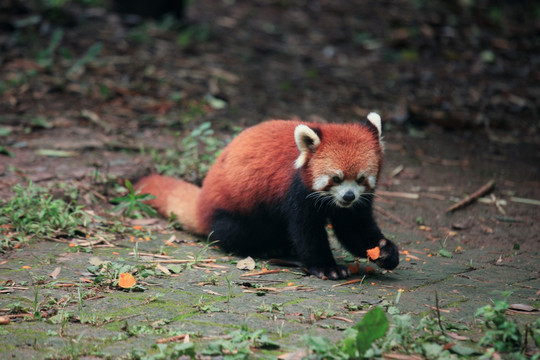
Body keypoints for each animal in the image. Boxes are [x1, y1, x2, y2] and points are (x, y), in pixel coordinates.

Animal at [135, 114, 396, 280]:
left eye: (361, 179)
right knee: (233, 232)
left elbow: (354, 229)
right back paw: (268, 249)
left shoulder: (355, 205)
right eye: (336, 178)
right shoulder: (297, 193)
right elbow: (307, 231)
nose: (348, 196)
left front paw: (385, 251)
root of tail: (202, 203)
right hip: (234, 213)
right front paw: (327, 267)